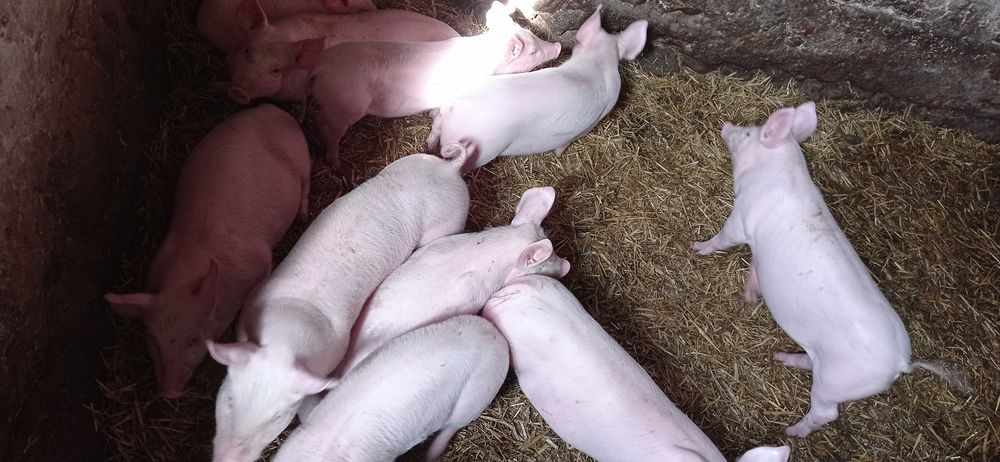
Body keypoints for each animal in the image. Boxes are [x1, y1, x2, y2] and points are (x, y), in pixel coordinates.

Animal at [104, 104, 310, 399]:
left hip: (300, 155)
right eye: (153, 339)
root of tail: (271, 108)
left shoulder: (258, 257)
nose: (168, 392)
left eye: (193, 339)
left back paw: (303, 215)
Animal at [206, 143, 472, 462]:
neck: (286, 336)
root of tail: (449, 168)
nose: (228, 458)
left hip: (447, 223)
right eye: (229, 398)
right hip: (406, 164)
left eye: (279, 416)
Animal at [301, 2, 562, 165]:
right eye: (533, 52)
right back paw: (335, 163)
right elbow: (440, 123)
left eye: (534, 36)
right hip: (344, 105)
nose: (558, 47)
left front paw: (429, 120)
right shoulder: (452, 99)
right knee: (327, 128)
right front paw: (431, 147)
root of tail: (320, 65)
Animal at [426, 6, 647, 169]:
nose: (558, 47)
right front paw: (558, 155)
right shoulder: (597, 117)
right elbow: (566, 143)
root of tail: (455, 106)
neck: (596, 63)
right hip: (480, 148)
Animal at [692, 102, 970, 437]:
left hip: (836, 382)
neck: (776, 172)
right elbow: (755, 268)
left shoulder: (741, 219)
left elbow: (723, 238)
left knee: (826, 413)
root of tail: (900, 364)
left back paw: (790, 432)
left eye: (748, 134)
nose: (726, 125)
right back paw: (782, 358)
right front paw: (749, 295)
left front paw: (696, 246)